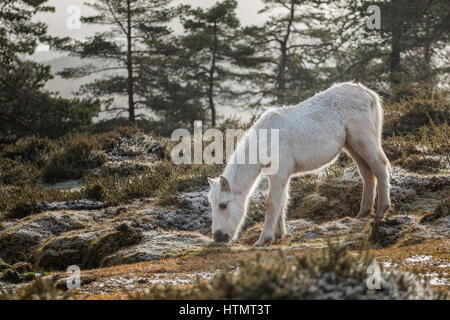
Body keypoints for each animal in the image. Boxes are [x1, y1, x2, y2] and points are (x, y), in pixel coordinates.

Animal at [207, 82, 390, 245]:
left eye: (223, 205)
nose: (218, 237)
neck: (265, 140)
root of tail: (369, 94)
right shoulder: (281, 176)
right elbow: (282, 201)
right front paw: (279, 234)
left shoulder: (279, 175)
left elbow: (272, 203)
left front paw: (264, 239)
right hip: (352, 145)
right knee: (367, 173)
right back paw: (363, 212)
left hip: (363, 140)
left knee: (380, 167)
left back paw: (381, 212)